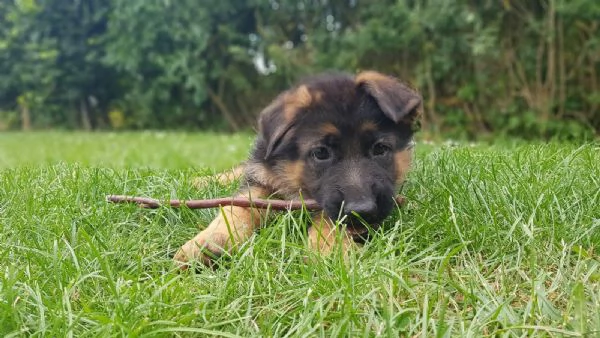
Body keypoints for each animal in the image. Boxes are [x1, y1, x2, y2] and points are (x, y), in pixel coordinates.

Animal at [173, 70, 422, 266]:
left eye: (380, 149)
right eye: (320, 153)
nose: (362, 212)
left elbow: (328, 215)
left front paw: (332, 248)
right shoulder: (261, 180)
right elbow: (238, 206)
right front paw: (210, 240)